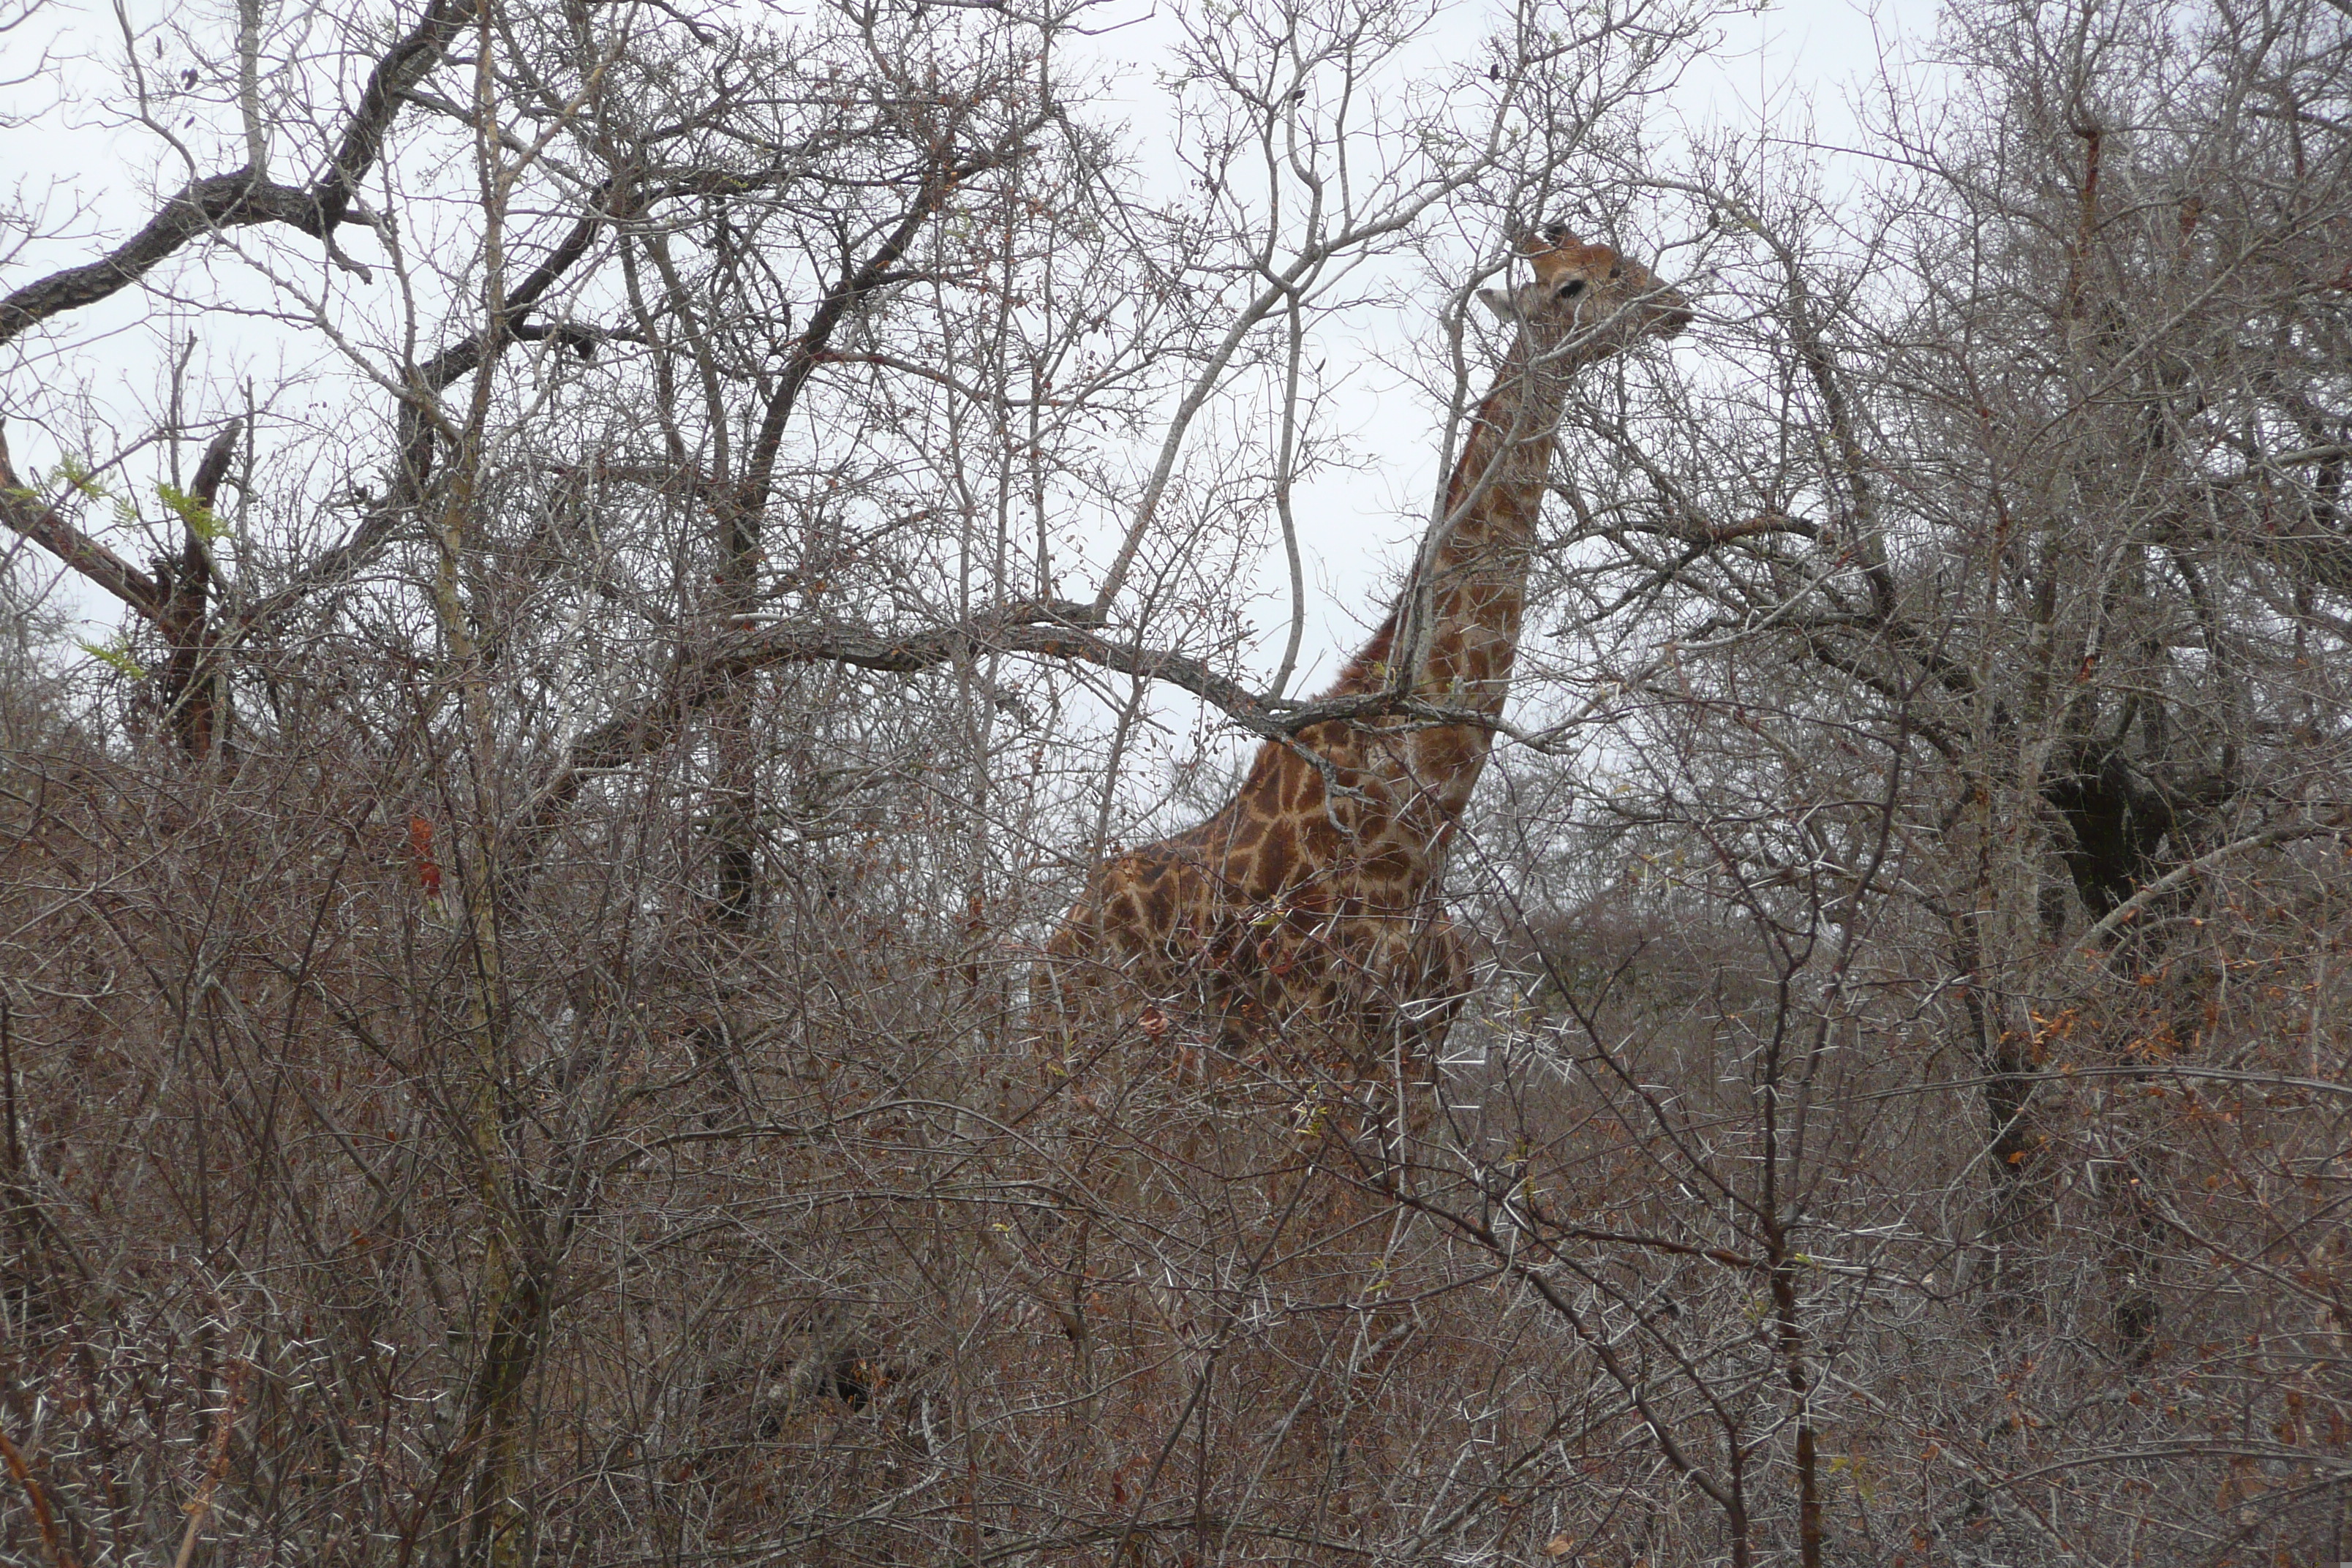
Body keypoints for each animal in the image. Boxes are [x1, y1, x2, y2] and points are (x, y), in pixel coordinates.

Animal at [1035, 227, 1693, 1100]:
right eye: (1574, 285)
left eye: (1629, 260)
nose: (1674, 307)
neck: (1418, 829)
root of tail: (1049, 948)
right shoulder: (1315, 1043)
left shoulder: (1414, 1048)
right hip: (1106, 1061)